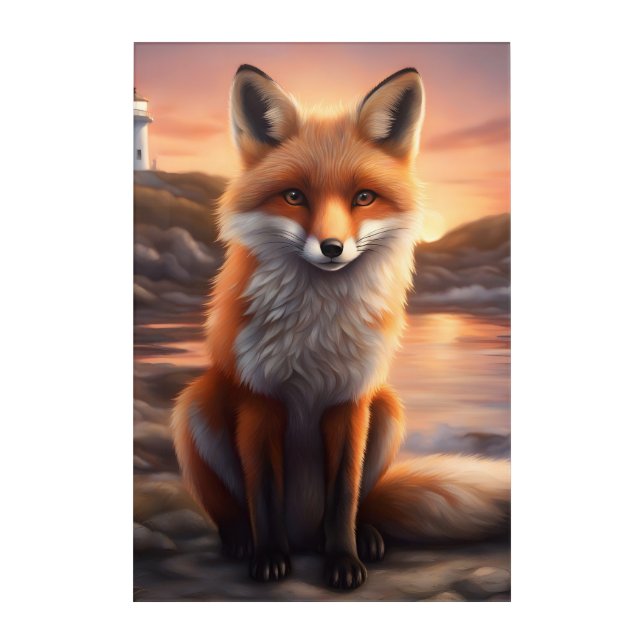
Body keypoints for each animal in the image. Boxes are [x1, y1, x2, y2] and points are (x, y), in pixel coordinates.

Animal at [171, 64, 510, 590]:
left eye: (363, 197)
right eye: (294, 196)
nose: (332, 248)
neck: (316, 334)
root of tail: (303, 534)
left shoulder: (352, 401)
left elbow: (343, 497)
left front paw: (344, 561)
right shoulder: (258, 400)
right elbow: (263, 495)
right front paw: (269, 557)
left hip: (388, 407)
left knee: (362, 505)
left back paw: (366, 536)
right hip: (195, 405)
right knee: (231, 510)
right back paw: (242, 540)